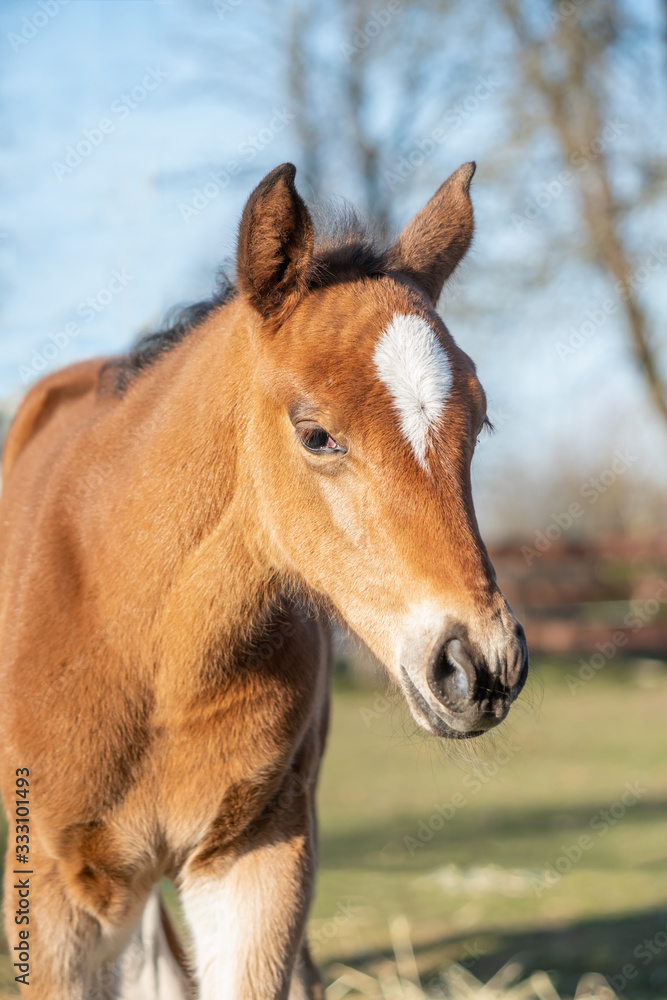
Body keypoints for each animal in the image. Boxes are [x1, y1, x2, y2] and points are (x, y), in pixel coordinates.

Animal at [1, 160, 528, 996]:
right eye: (316, 436)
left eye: (477, 422)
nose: (480, 665)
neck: (152, 655)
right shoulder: (55, 892)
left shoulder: (257, 858)